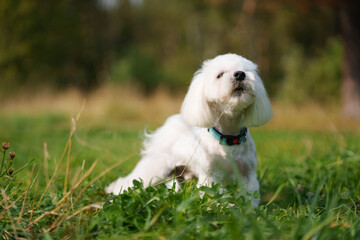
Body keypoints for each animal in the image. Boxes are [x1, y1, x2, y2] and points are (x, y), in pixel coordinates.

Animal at [106, 54, 272, 206]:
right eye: (219, 75)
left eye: (246, 71)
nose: (239, 74)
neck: (228, 138)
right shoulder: (210, 178)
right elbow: (219, 198)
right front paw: (228, 207)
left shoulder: (248, 175)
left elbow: (249, 198)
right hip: (156, 168)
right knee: (129, 181)